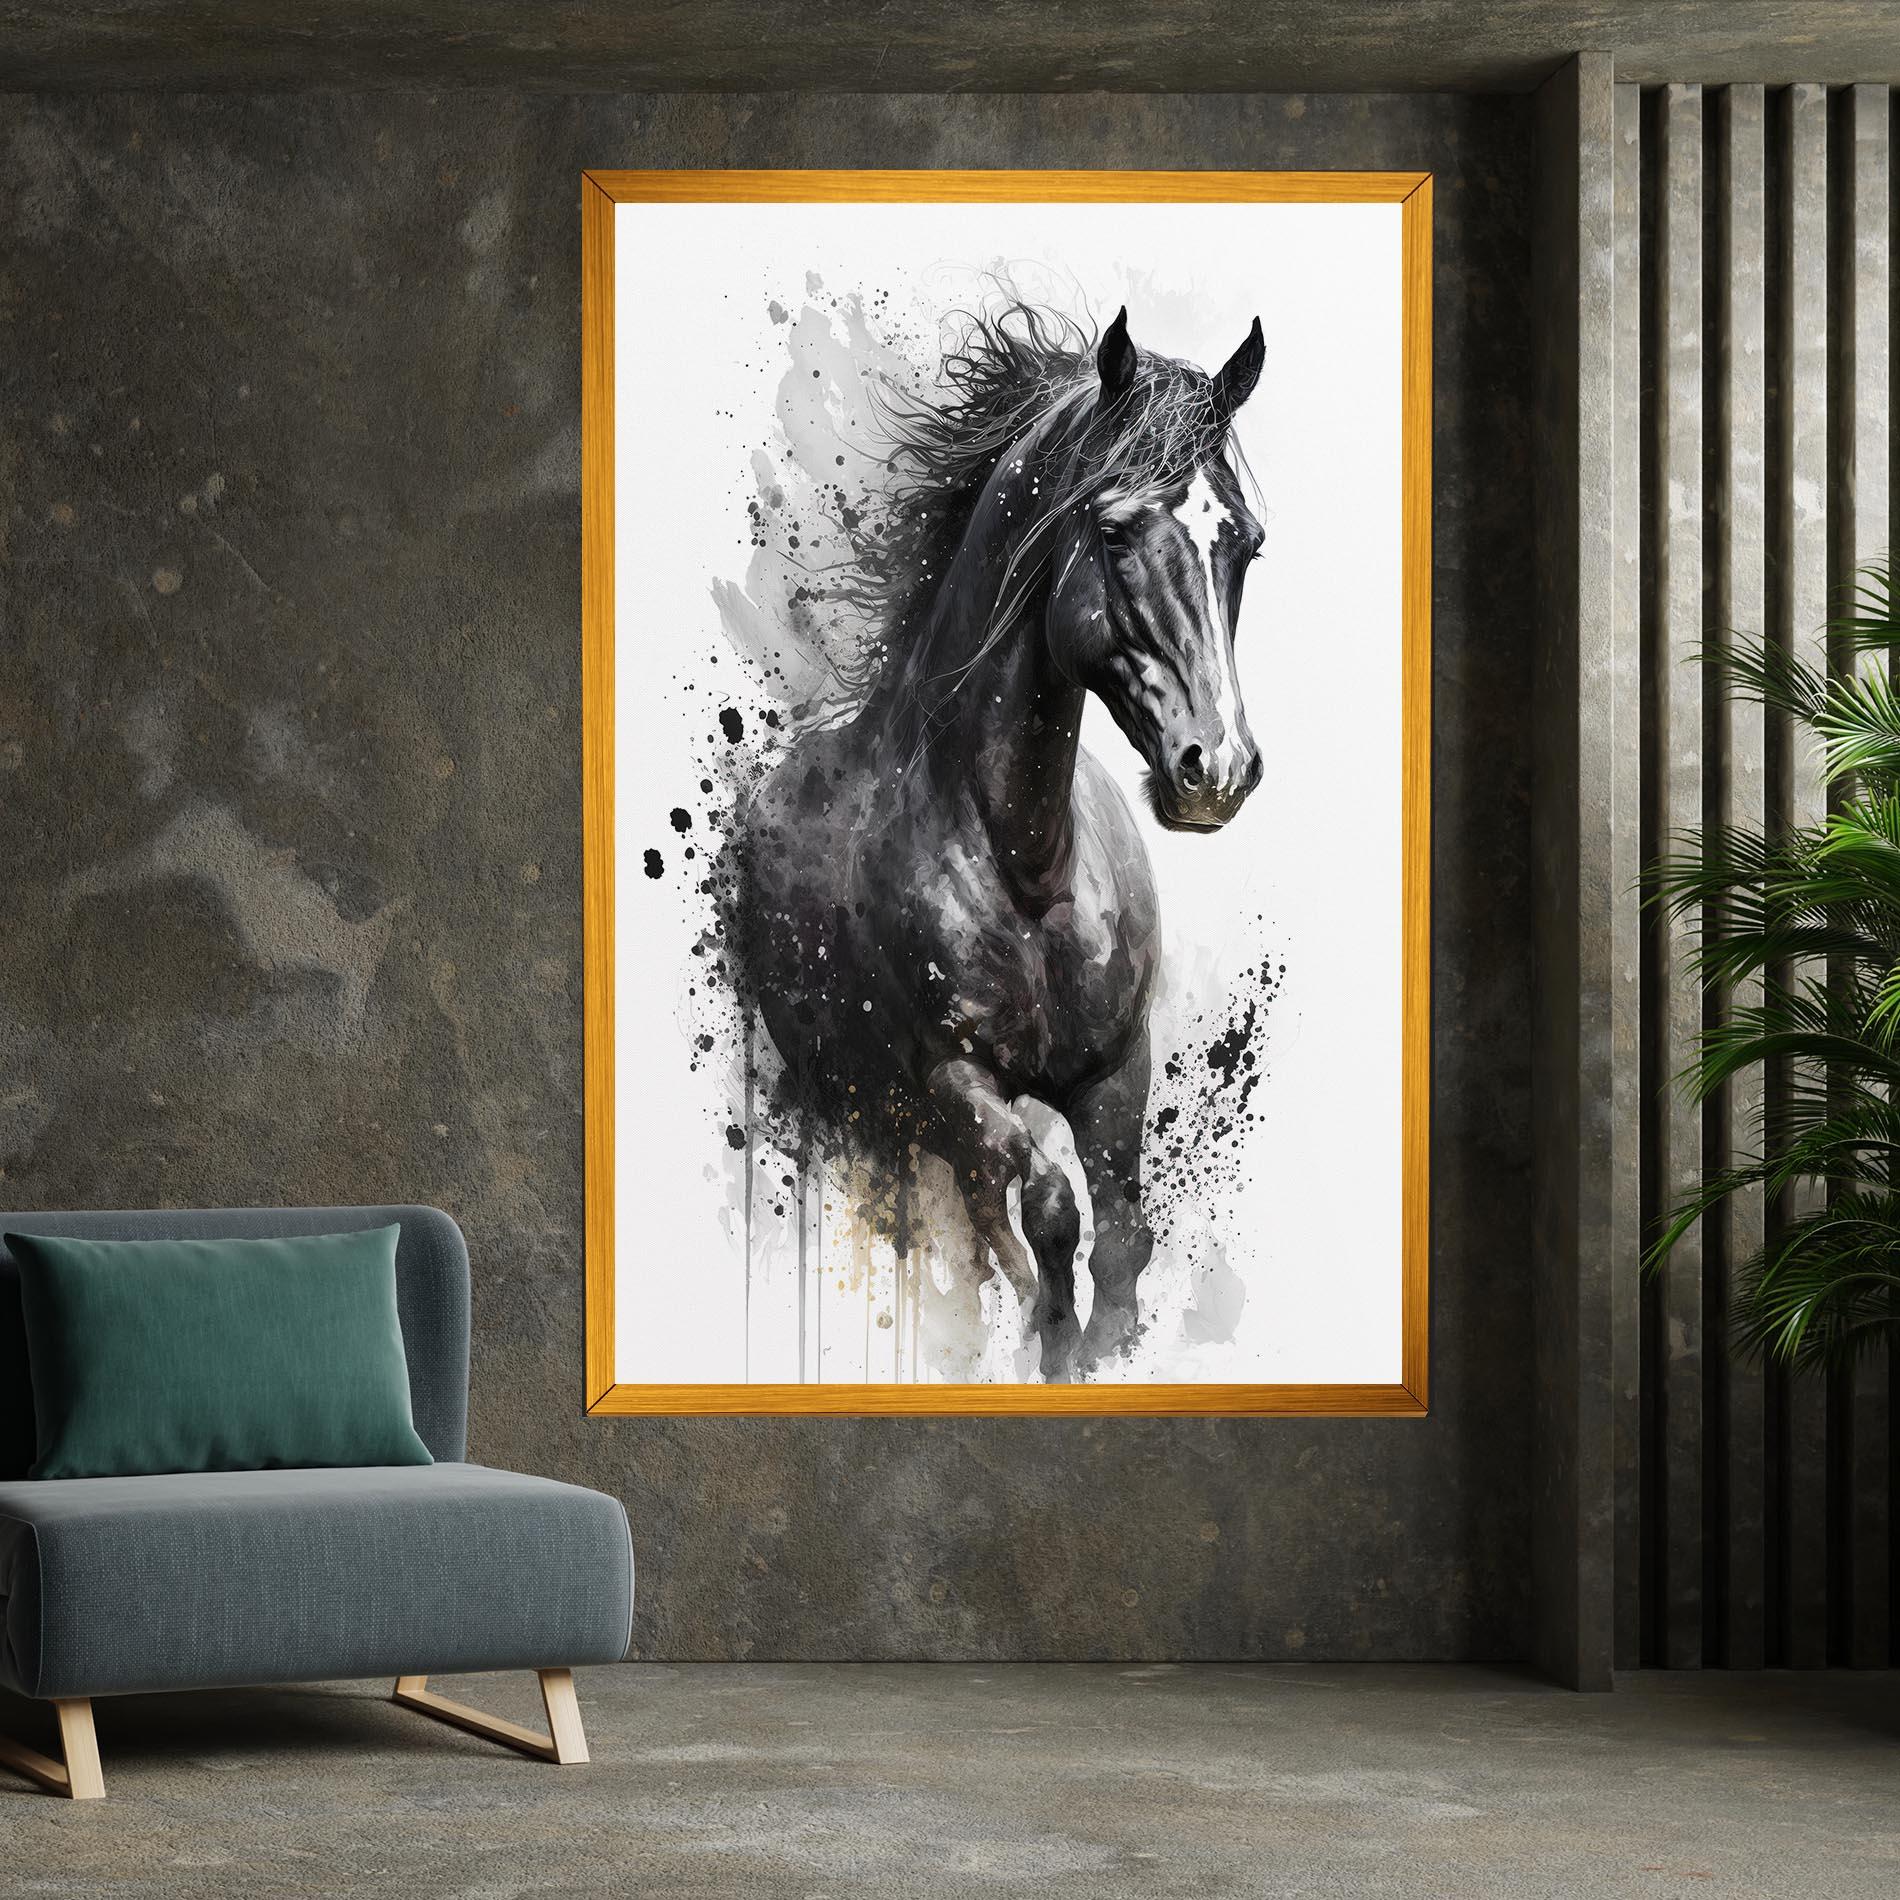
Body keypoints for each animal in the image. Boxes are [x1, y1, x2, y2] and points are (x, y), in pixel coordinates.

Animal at [738, 302, 1266, 1381]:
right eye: (1113, 529)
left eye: (1247, 544)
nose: (1218, 769)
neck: (1027, 866)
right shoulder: (954, 1079)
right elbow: (1054, 1211)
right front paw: (1050, 1346)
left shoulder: (1116, 1072)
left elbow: (1123, 1242)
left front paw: (1100, 1348)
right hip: (857, 1106)